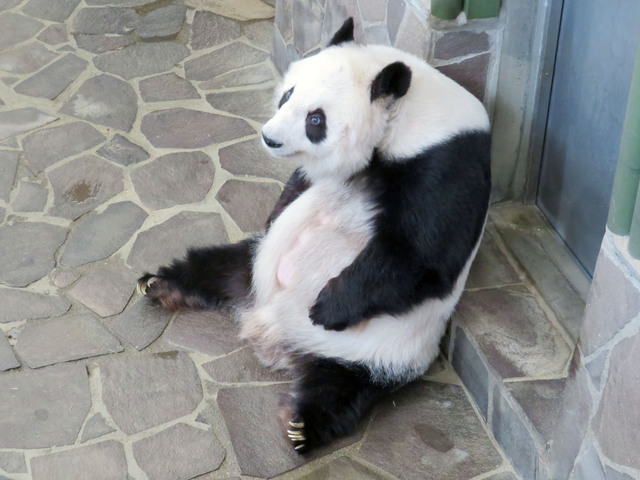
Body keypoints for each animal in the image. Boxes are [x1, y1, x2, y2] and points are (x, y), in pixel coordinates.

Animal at [138, 17, 492, 454]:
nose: (270, 138)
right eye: (288, 94)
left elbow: (419, 257)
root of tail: (266, 330)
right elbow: (297, 187)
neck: (408, 114)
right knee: (215, 265)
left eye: (316, 119)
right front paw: (281, 204)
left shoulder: (444, 162)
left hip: (382, 347)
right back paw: (162, 283)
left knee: (345, 386)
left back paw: (303, 424)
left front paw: (326, 307)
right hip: (255, 264)